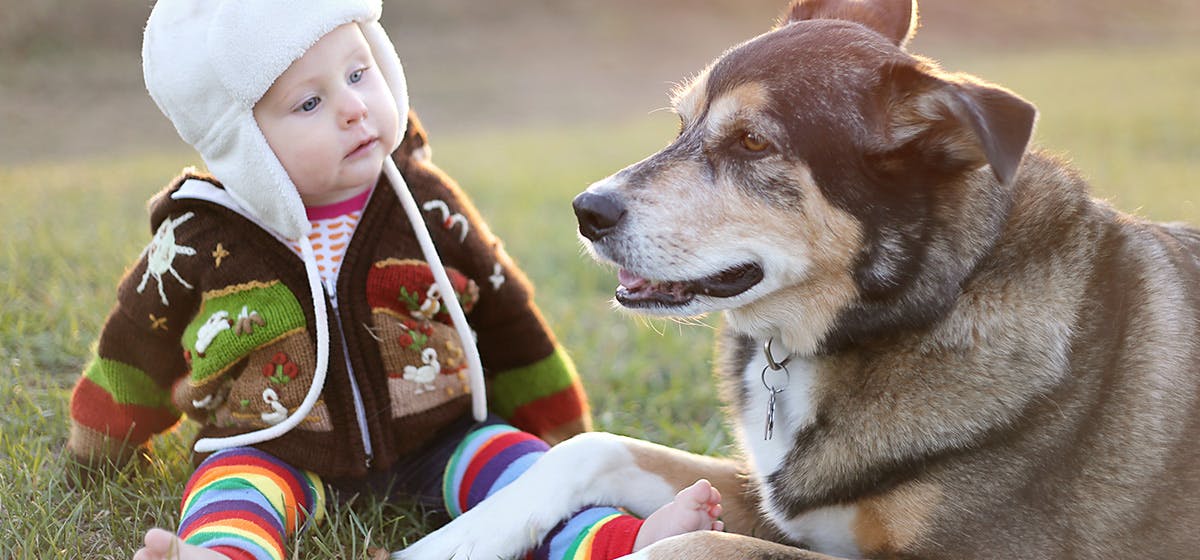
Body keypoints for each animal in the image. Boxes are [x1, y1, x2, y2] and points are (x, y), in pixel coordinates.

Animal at [396, 2, 1200, 558]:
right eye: (681, 123)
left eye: (753, 143)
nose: (586, 210)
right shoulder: (777, 496)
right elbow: (592, 446)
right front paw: (450, 543)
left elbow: (687, 541)